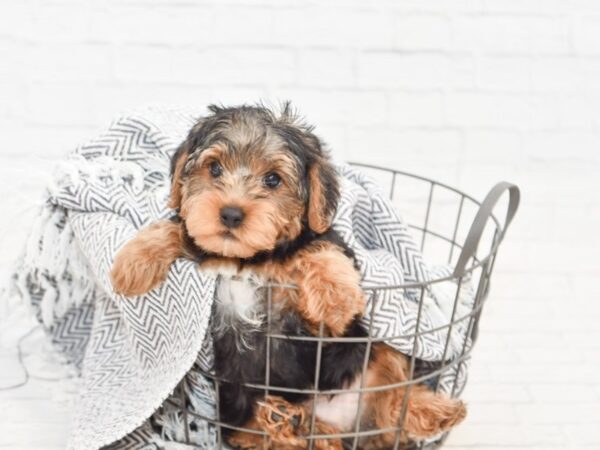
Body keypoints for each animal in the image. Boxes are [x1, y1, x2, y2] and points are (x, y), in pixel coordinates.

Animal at [112, 103, 468, 448]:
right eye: (213, 169)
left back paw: (436, 410)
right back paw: (286, 421)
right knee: (282, 436)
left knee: (395, 398)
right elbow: (178, 229)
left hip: (368, 352)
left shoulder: (316, 317)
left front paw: (335, 297)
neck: (249, 259)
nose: (230, 214)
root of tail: (349, 423)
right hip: (246, 408)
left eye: (273, 180)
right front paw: (131, 263)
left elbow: (318, 250)